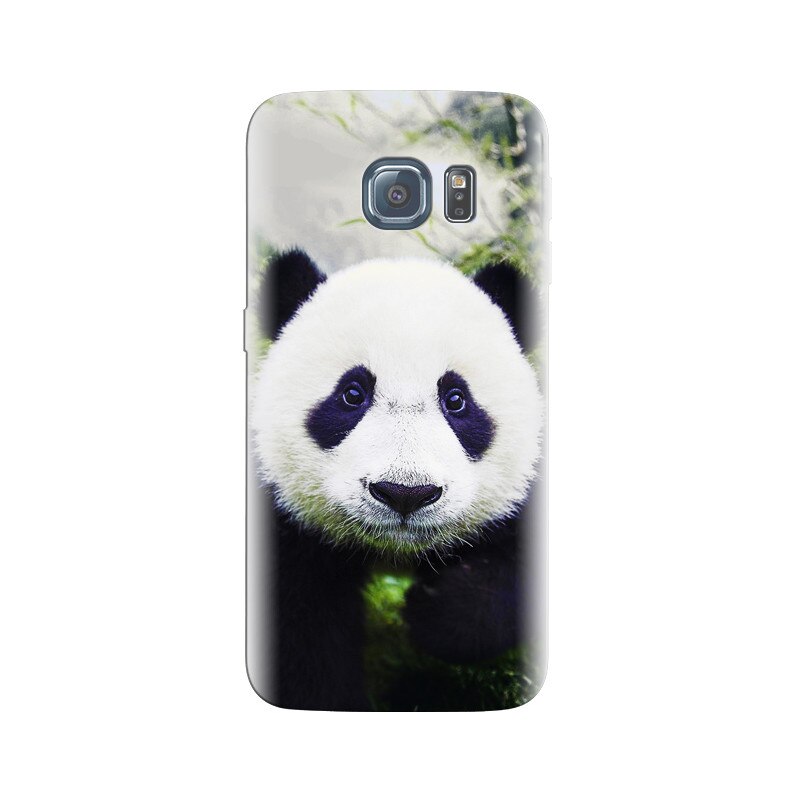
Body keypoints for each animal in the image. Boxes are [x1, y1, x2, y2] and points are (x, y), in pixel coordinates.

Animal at [250, 249, 544, 710]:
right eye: (352, 393)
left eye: (456, 399)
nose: (406, 494)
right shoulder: (286, 524)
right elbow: (304, 636)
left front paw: (437, 611)